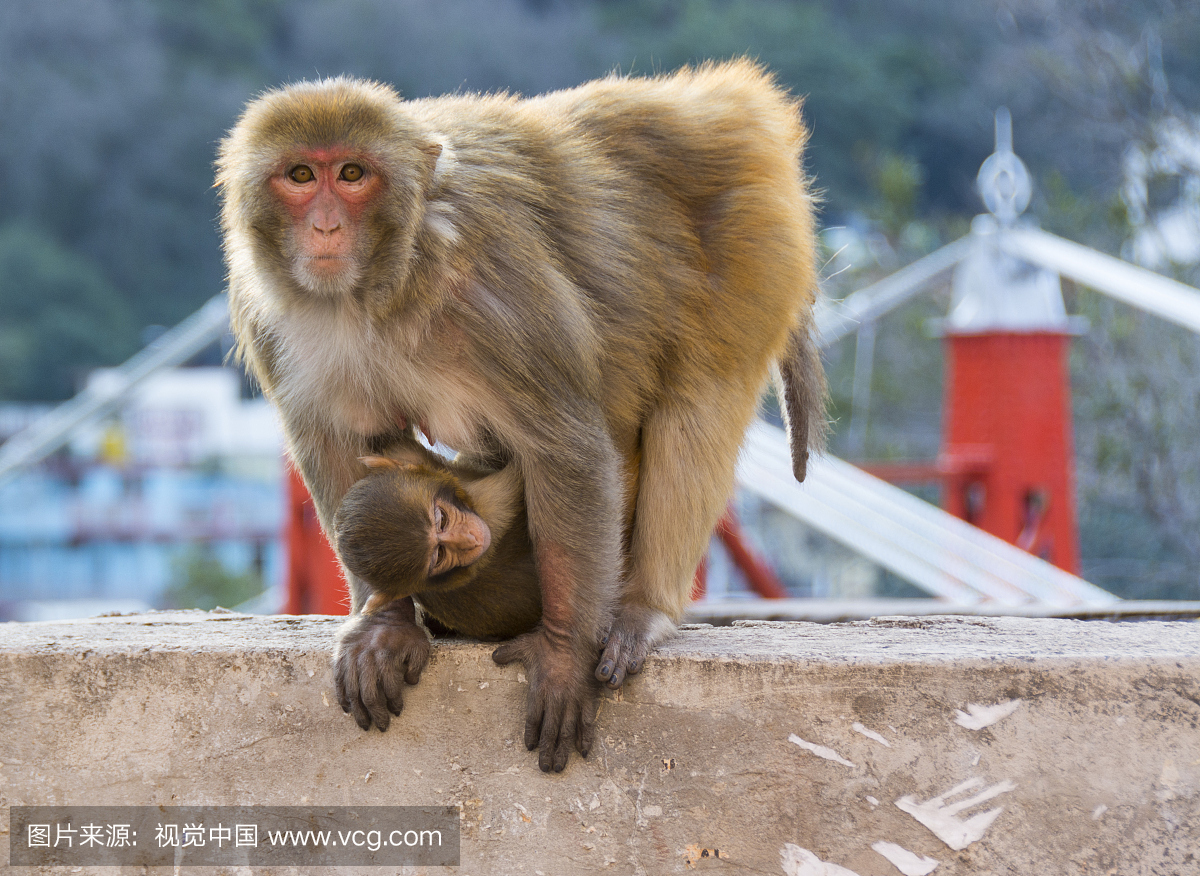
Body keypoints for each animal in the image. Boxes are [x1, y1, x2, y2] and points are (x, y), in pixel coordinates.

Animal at [218, 59, 825, 772]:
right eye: (300, 176)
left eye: (351, 174)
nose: (325, 229)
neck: (380, 288)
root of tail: (721, 99)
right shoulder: (268, 321)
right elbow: (341, 446)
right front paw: (385, 623)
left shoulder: (496, 290)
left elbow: (567, 449)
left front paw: (562, 653)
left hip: (753, 231)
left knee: (699, 399)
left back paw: (644, 609)